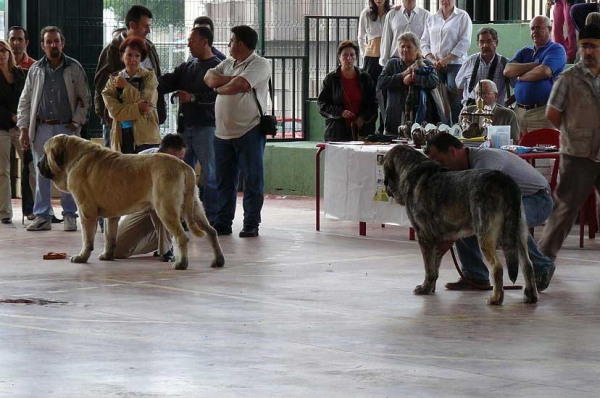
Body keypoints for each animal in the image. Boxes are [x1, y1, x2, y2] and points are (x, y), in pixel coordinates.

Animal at [38, 134, 225, 270]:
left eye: (45, 154)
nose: (38, 164)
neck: (75, 157)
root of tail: (184, 166)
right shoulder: (111, 217)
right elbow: (110, 238)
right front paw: (107, 255)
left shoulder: (86, 212)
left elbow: (87, 239)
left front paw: (82, 257)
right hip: (194, 208)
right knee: (211, 231)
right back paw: (218, 260)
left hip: (165, 208)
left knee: (182, 236)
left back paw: (181, 264)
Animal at [384, 145, 540, 304]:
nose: (386, 188)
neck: (411, 168)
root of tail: (505, 181)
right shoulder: (439, 241)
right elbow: (435, 265)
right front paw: (431, 287)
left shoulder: (424, 237)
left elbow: (429, 268)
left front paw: (424, 288)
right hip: (518, 231)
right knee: (528, 265)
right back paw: (531, 295)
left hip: (485, 233)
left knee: (497, 266)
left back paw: (496, 298)